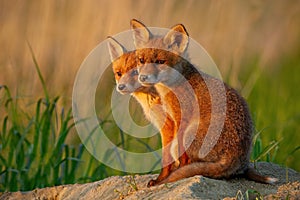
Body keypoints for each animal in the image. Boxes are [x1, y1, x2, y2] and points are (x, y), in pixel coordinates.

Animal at [130, 19, 278, 186]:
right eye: (141, 60)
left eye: (161, 62)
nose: (143, 77)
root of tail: (238, 159)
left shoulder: (181, 119)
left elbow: (178, 157)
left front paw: (165, 177)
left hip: (190, 133)